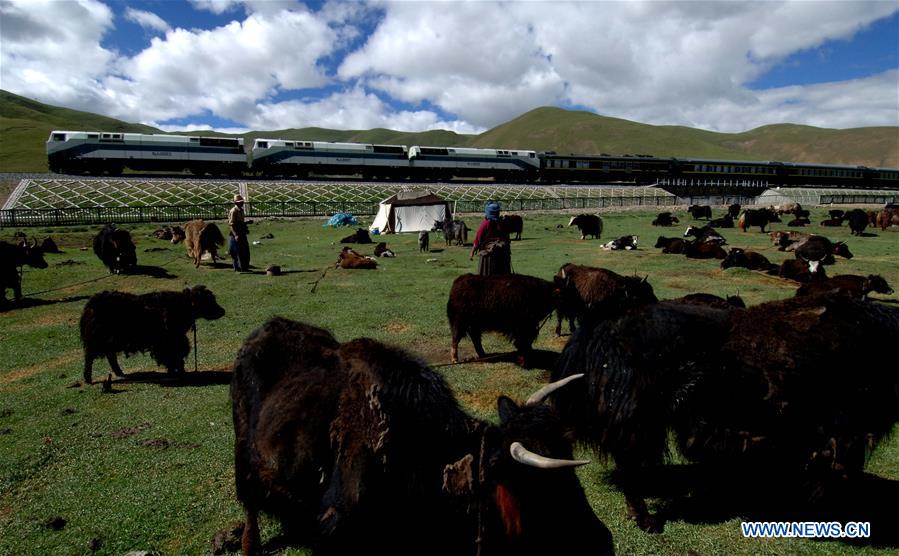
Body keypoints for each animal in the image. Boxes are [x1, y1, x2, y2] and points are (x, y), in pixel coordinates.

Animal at [80, 284, 225, 384]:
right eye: (208, 301)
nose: (222, 311)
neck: (183, 305)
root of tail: (91, 303)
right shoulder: (168, 341)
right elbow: (174, 356)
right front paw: (177, 372)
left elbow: (177, 355)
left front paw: (177, 371)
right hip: (96, 340)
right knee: (90, 357)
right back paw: (88, 378)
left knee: (111, 356)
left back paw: (120, 373)